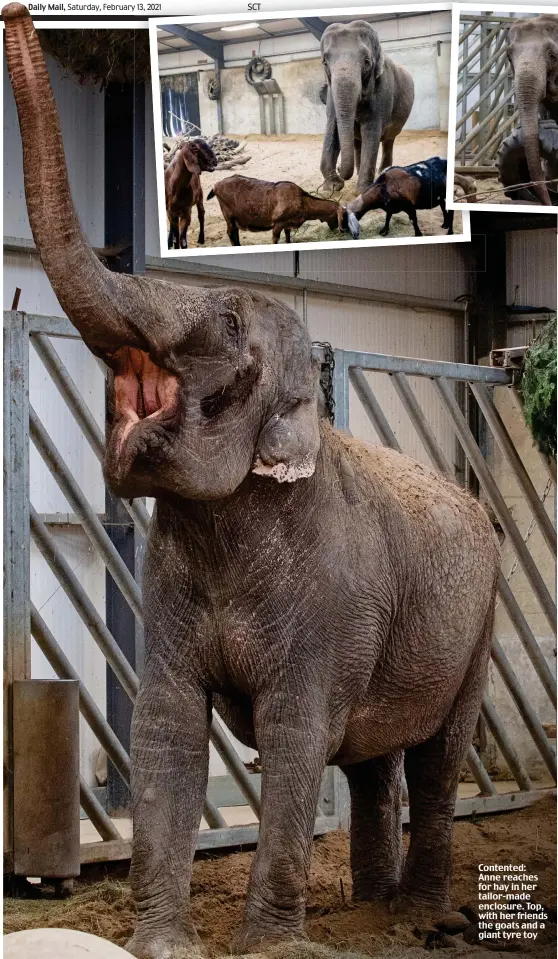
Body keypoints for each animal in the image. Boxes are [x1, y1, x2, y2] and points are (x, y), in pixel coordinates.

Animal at [208, 175, 360, 246]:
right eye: (343, 217)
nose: (342, 229)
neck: (303, 202)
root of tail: (215, 187)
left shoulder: (287, 224)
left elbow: (287, 239)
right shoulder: (278, 223)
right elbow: (275, 239)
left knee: (235, 232)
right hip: (228, 215)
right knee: (230, 232)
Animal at [320, 21, 416, 195]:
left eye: (366, 62)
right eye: (325, 63)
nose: (339, 170)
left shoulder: (381, 91)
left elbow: (371, 131)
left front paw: (362, 191)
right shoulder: (331, 94)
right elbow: (332, 128)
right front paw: (331, 188)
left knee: (389, 139)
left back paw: (384, 172)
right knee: (358, 141)